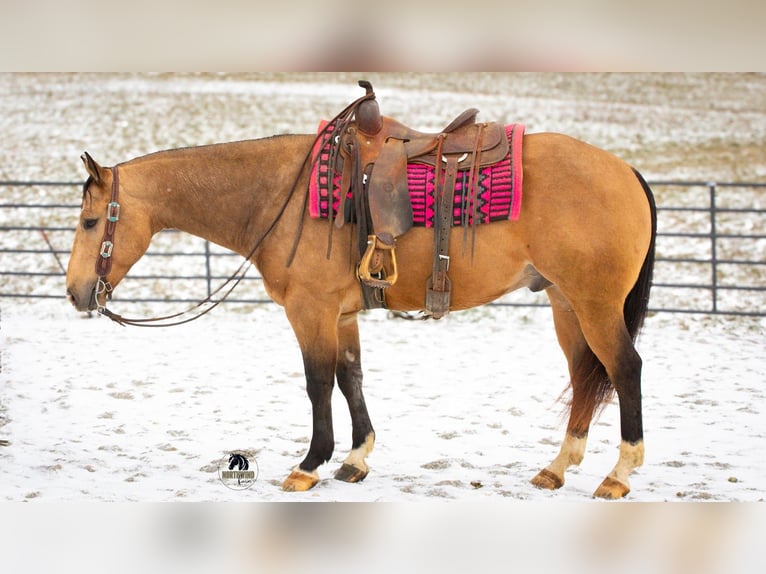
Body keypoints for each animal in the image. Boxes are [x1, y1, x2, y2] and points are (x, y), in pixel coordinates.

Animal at [65, 109, 656, 499]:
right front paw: (354, 460)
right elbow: (350, 378)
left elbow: (318, 382)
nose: (74, 292)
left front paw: (309, 465)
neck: (279, 194)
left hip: (595, 305)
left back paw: (618, 475)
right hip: (565, 304)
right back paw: (557, 468)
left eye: (91, 222)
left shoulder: (310, 311)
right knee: (584, 375)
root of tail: (626, 171)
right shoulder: (343, 314)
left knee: (624, 368)